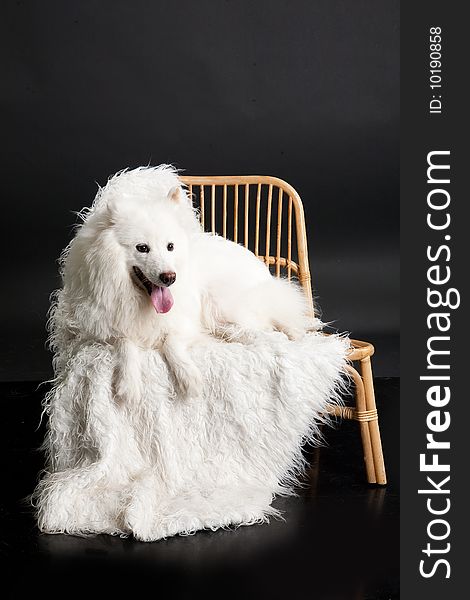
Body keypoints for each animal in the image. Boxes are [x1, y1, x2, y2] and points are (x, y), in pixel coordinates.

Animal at [50, 164, 312, 400]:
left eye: (170, 246)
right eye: (142, 248)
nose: (169, 277)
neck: (136, 298)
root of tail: (263, 270)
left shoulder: (184, 322)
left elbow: (171, 342)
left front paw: (189, 379)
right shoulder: (109, 328)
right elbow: (126, 344)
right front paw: (128, 385)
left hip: (221, 302)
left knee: (273, 321)